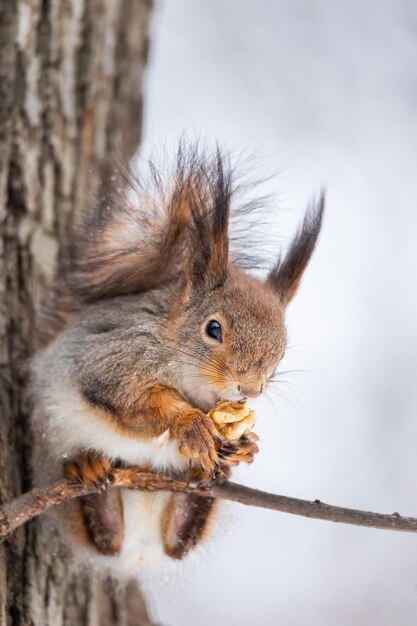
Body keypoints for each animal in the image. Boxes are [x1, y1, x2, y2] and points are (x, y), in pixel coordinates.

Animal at [30, 144, 324, 568]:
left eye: (283, 348)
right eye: (213, 329)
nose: (250, 390)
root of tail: (138, 551)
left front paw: (246, 441)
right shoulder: (112, 357)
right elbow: (132, 398)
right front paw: (190, 424)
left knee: (179, 541)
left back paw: (204, 489)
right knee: (102, 538)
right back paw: (86, 469)